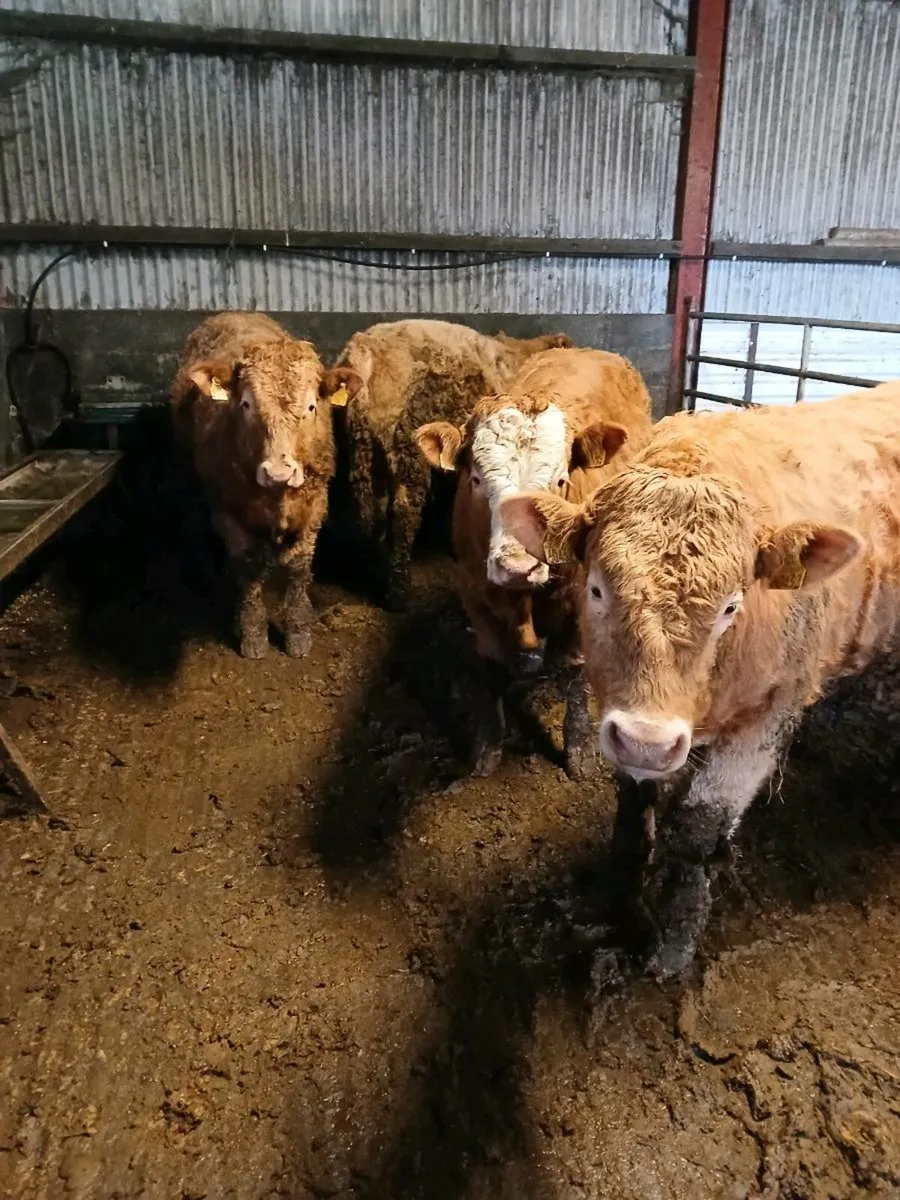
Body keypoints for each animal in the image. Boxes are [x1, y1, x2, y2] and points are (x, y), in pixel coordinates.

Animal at [170, 312, 358, 659]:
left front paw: (298, 629)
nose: (279, 472)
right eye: (246, 404)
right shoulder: (227, 512)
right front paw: (252, 632)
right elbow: (246, 568)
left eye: (311, 406)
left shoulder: (315, 506)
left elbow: (298, 567)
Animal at [329, 320, 573, 610]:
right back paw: (399, 593)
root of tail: (363, 353)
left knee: (367, 517)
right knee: (402, 513)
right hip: (406, 452)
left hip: (363, 454)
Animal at [415, 348, 654, 779]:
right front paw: (488, 749)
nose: (517, 566)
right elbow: (490, 668)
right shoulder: (474, 594)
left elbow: (575, 676)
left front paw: (578, 750)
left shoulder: (581, 603)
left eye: (560, 482)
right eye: (476, 480)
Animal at [500, 382, 900, 976]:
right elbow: (632, 808)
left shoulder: (770, 714)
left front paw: (672, 946)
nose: (647, 740)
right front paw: (622, 892)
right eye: (596, 589)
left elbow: (697, 830)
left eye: (732, 605)